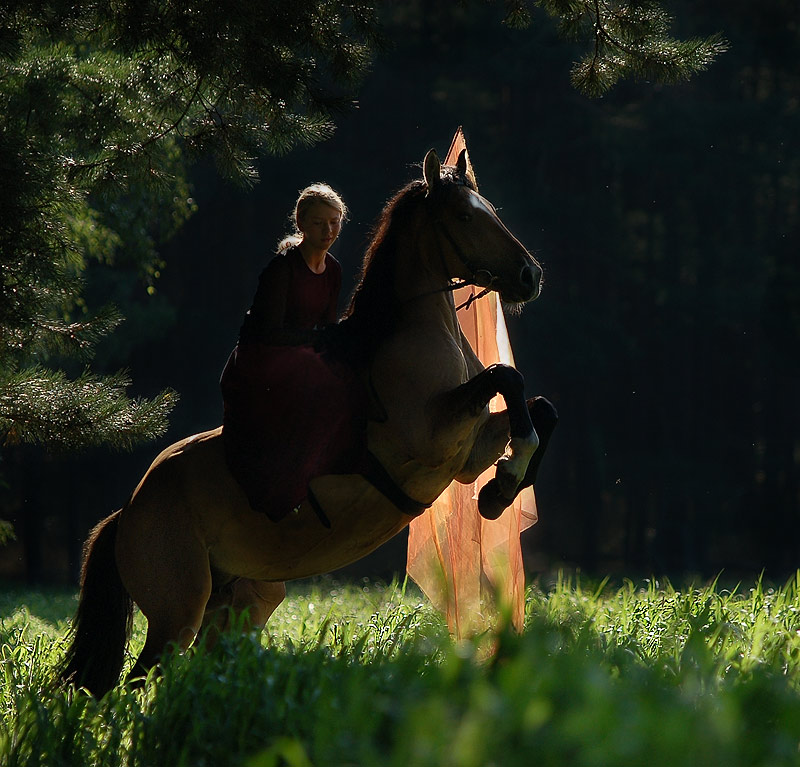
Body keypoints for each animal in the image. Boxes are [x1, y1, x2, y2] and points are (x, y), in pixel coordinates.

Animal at [61, 142, 556, 696]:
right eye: (466, 216)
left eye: (488, 208)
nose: (530, 275)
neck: (415, 334)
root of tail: (127, 511)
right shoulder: (432, 438)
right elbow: (507, 379)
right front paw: (505, 483)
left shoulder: (467, 453)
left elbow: (540, 409)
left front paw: (501, 490)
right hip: (177, 613)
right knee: (135, 682)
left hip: (239, 603)